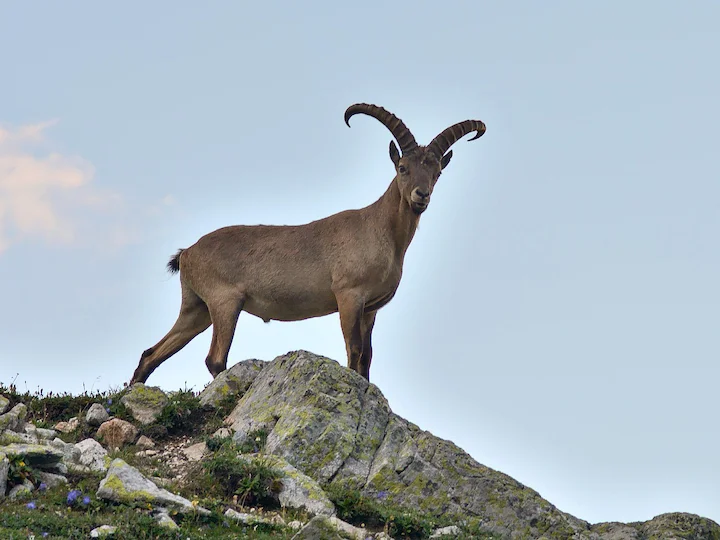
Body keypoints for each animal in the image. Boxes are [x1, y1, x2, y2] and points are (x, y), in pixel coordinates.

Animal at [130, 103, 486, 384]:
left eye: (437, 172)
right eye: (403, 168)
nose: (420, 196)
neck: (380, 230)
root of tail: (187, 253)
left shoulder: (371, 307)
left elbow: (367, 357)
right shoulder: (348, 295)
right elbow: (354, 349)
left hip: (197, 309)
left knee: (152, 352)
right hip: (224, 301)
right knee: (214, 358)